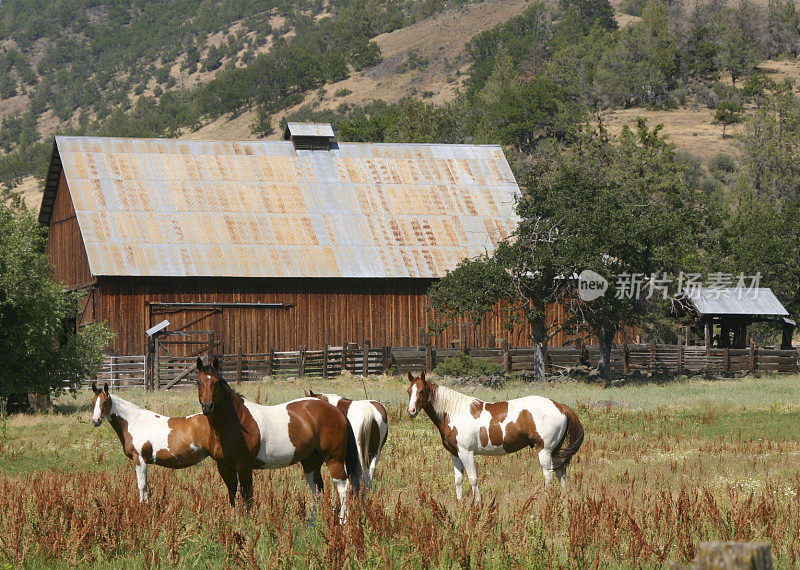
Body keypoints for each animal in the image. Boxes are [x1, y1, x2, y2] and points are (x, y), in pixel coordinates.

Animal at [197, 358, 362, 516]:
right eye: (198, 382)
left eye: (216, 382)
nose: (207, 407)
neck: (238, 420)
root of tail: (335, 410)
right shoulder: (224, 466)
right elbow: (232, 496)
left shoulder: (243, 466)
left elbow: (247, 498)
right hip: (311, 462)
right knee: (317, 489)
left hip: (334, 459)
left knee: (342, 486)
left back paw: (343, 520)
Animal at [406, 370, 580, 500]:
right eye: (409, 391)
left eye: (422, 391)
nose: (411, 411)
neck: (455, 412)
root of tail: (560, 406)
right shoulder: (454, 453)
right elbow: (458, 480)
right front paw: (459, 503)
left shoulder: (466, 452)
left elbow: (473, 478)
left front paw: (477, 503)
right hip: (555, 450)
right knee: (561, 472)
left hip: (544, 449)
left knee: (548, 474)